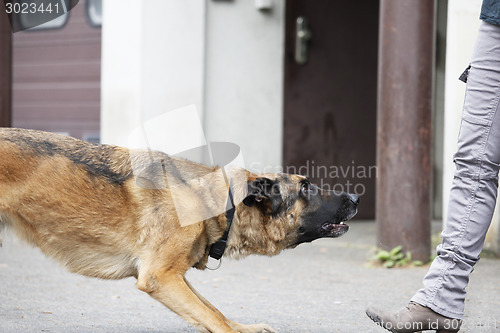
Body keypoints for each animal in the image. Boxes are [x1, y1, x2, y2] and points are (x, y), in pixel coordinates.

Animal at [0, 127, 360, 332]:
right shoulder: (160, 277)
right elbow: (214, 320)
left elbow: (215, 311)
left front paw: (246, 327)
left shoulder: (175, 276)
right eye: (306, 187)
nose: (357, 197)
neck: (218, 200)